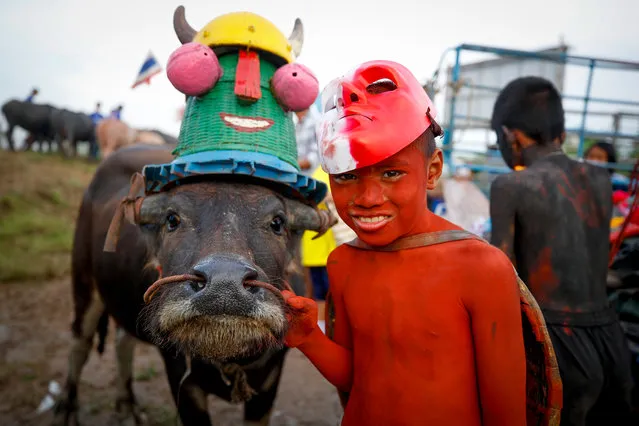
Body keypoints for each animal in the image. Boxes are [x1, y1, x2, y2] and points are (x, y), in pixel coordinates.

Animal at [53, 144, 336, 426]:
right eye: (172, 219)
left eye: (277, 223)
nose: (224, 285)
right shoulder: (183, 381)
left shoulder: (269, 381)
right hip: (83, 279)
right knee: (80, 343)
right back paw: (67, 409)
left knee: (123, 340)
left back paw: (127, 407)